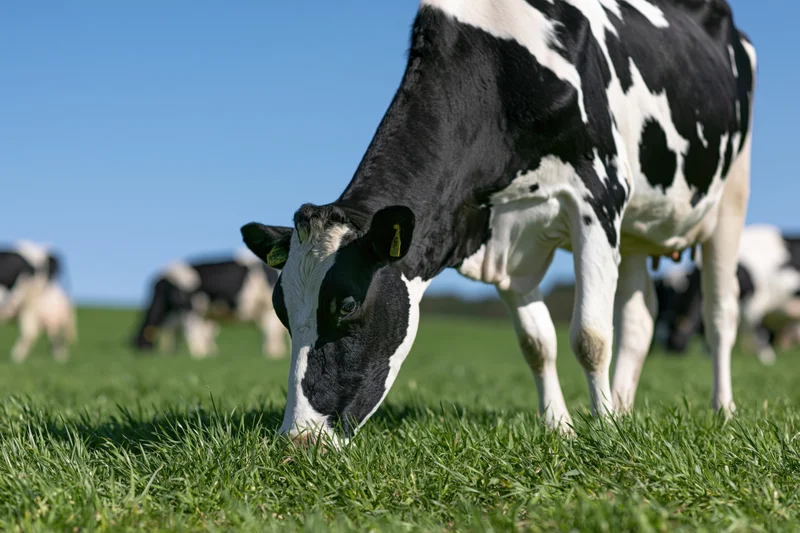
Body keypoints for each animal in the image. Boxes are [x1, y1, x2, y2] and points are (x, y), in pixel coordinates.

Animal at [131, 249, 288, 359]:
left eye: (140, 342)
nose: (141, 356)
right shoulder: (202, 313)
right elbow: (202, 333)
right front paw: (209, 353)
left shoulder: (191, 308)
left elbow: (194, 331)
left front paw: (198, 353)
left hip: (267, 308)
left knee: (271, 330)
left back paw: (273, 353)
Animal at [240, 0, 757, 444]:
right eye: (281, 310)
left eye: (347, 306)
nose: (298, 440)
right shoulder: (505, 238)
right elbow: (537, 342)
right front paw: (562, 428)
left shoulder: (598, 195)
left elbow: (590, 336)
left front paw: (604, 431)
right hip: (635, 228)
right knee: (640, 317)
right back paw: (625, 407)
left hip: (730, 198)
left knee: (719, 315)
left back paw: (723, 411)